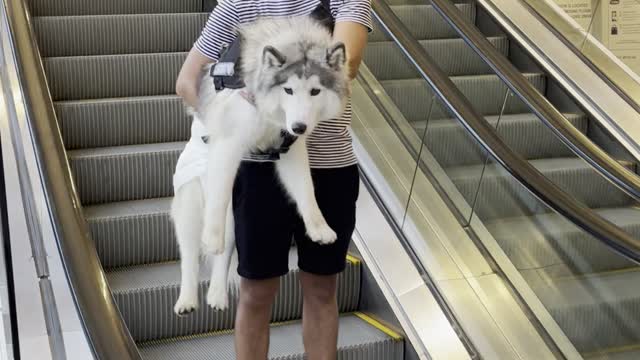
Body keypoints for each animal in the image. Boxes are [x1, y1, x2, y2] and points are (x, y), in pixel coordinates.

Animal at [171, 15, 350, 314]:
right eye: (288, 89)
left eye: (315, 91)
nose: (299, 126)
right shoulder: (228, 144)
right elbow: (218, 200)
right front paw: (211, 237)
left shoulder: (291, 150)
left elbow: (306, 191)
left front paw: (319, 228)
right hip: (191, 205)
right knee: (189, 255)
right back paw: (187, 300)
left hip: (235, 219)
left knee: (224, 255)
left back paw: (217, 296)